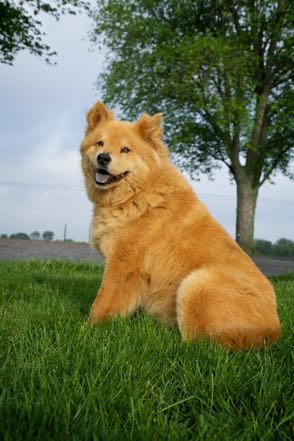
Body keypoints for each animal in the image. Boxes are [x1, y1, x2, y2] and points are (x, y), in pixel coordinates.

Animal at [80, 101, 280, 348]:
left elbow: (102, 302)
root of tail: (273, 334)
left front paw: (86, 331)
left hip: (196, 283)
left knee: (198, 345)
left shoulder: (122, 264)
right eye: (100, 143)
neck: (139, 193)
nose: (103, 158)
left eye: (125, 150)